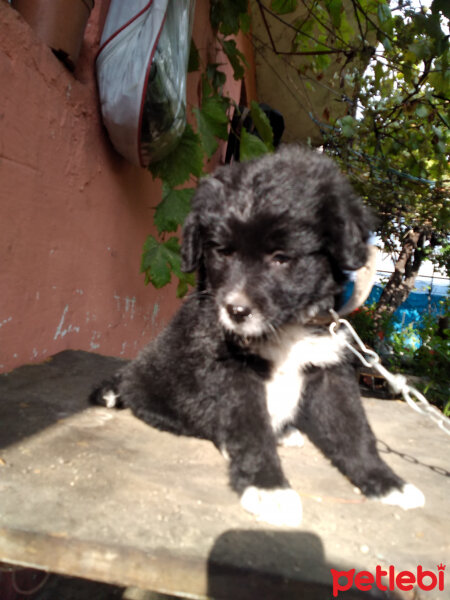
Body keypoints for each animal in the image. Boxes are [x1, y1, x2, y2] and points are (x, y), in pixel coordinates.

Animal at [91, 145, 426, 524]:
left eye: (281, 257)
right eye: (222, 251)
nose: (236, 311)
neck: (287, 327)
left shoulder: (329, 365)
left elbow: (353, 431)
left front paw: (386, 483)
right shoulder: (232, 370)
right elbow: (249, 429)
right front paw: (267, 487)